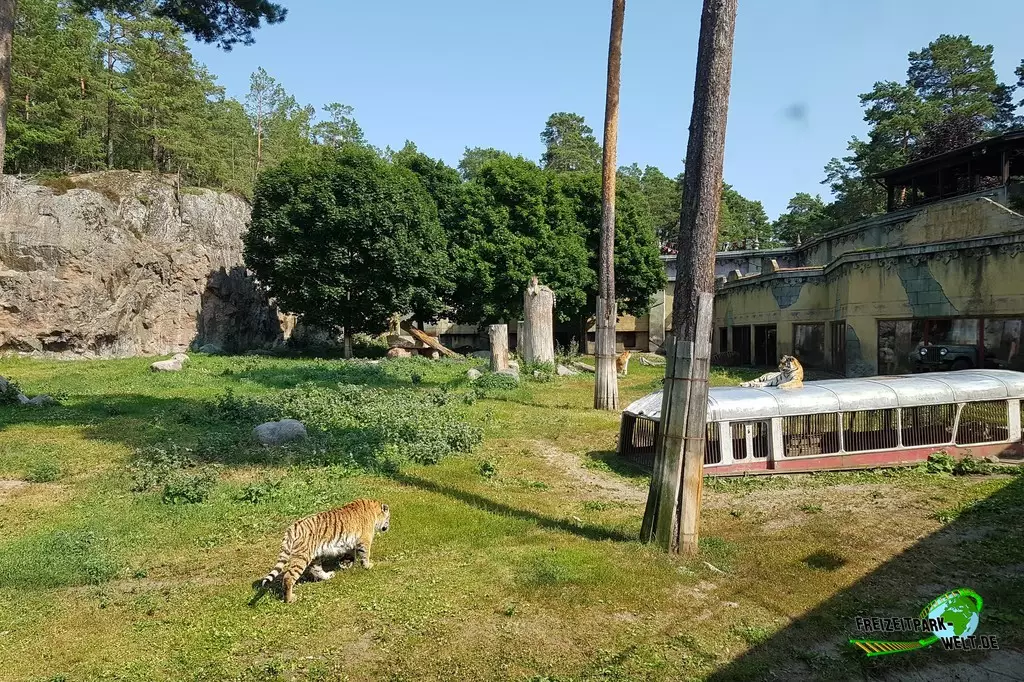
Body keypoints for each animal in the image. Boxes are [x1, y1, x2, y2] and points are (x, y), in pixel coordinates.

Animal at [252, 499, 390, 603]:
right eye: (388, 518)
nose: (387, 527)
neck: (374, 510)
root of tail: (293, 527)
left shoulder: (351, 544)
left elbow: (350, 555)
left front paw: (345, 564)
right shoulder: (365, 540)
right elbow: (365, 555)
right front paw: (368, 566)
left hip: (314, 556)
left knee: (316, 570)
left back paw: (328, 575)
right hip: (302, 557)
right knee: (289, 577)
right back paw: (290, 599)